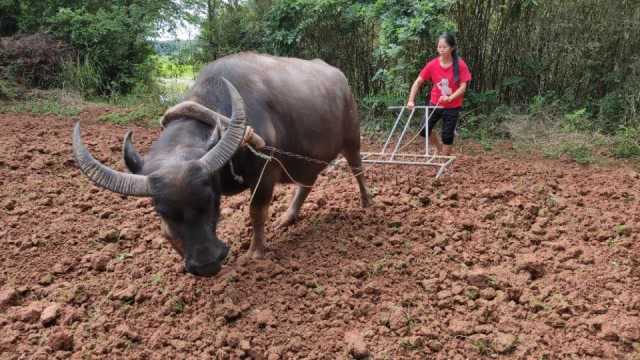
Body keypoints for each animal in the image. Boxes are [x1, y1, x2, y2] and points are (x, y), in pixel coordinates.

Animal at [73, 51, 370, 276]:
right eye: (162, 211)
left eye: (210, 201)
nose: (207, 264)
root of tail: (339, 76)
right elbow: (168, 233)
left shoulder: (265, 172)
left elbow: (256, 211)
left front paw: (256, 252)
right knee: (307, 182)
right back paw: (288, 217)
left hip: (352, 139)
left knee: (357, 170)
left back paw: (367, 204)